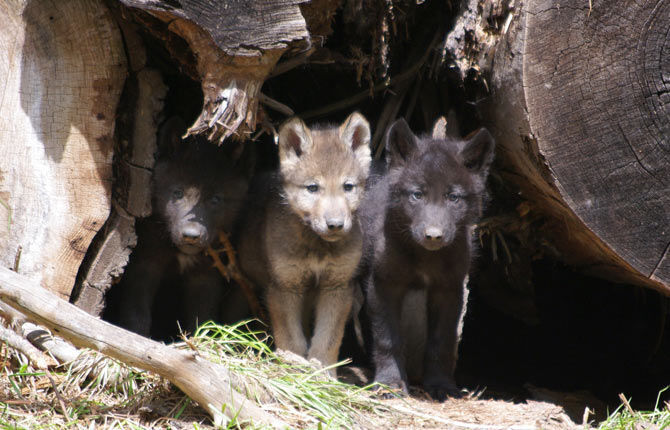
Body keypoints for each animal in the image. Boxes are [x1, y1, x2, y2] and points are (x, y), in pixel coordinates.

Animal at [113, 117, 254, 338]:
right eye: (177, 193)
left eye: (216, 199)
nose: (191, 235)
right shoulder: (144, 261)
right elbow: (137, 311)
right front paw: (135, 336)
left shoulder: (206, 275)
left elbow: (202, 317)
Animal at [236, 112, 372, 374]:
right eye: (312, 188)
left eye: (348, 187)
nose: (335, 224)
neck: (317, 248)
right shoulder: (284, 287)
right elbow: (292, 341)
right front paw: (292, 369)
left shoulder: (337, 287)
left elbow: (327, 339)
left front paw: (322, 373)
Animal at [359, 117, 494, 400]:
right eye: (417, 195)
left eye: (453, 197)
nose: (433, 236)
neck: (425, 258)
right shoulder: (383, 284)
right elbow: (387, 339)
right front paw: (389, 384)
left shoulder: (448, 289)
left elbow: (441, 342)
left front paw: (441, 385)